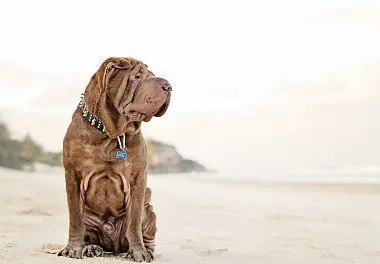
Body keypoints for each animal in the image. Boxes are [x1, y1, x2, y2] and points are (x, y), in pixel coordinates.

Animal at [58, 56, 172, 260]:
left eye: (152, 75)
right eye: (137, 76)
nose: (168, 86)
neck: (112, 134)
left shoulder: (138, 180)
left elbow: (134, 222)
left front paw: (139, 252)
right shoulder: (73, 175)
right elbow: (75, 220)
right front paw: (73, 249)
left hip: (150, 212)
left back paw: (145, 251)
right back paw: (90, 248)